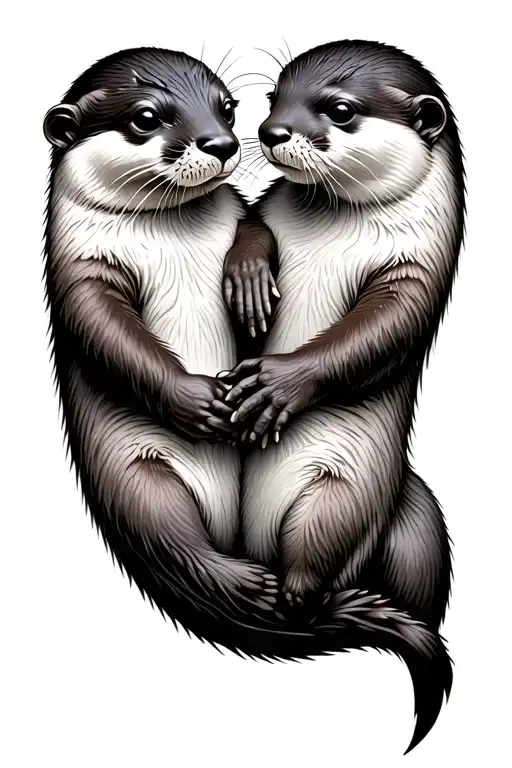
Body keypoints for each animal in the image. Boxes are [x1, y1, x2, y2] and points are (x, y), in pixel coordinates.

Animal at [44, 45, 454, 756]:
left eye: (229, 106)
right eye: (146, 117)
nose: (238, 138)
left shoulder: (417, 264)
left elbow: (380, 327)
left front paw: (273, 376)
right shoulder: (81, 264)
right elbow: (105, 330)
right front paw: (198, 393)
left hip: (365, 491)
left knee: (326, 543)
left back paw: (297, 592)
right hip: (134, 476)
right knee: (169, 536)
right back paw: (242, 583)